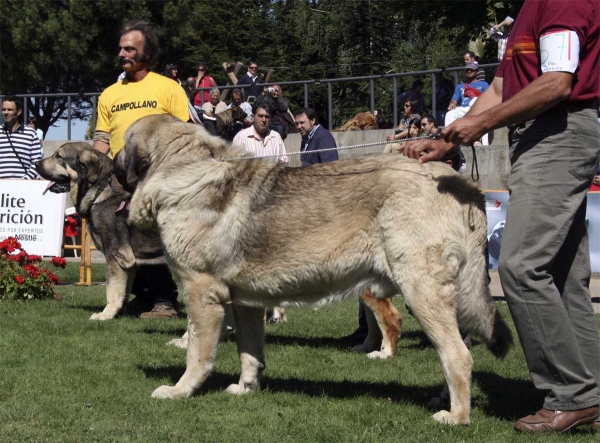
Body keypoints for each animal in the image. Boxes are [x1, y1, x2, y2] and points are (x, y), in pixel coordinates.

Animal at [112, 114, 510, 426]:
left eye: (119, 152)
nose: (111, 166)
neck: (182, 167)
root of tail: (466, 186)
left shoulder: (202, 293)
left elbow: (197, 352)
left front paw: (180, 390)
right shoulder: (245, 303)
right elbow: (249, 352)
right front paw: (246, 387)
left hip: (421, 290)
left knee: (458, 355)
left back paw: (456, 416)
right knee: (458, 346)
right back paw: (444, 399)